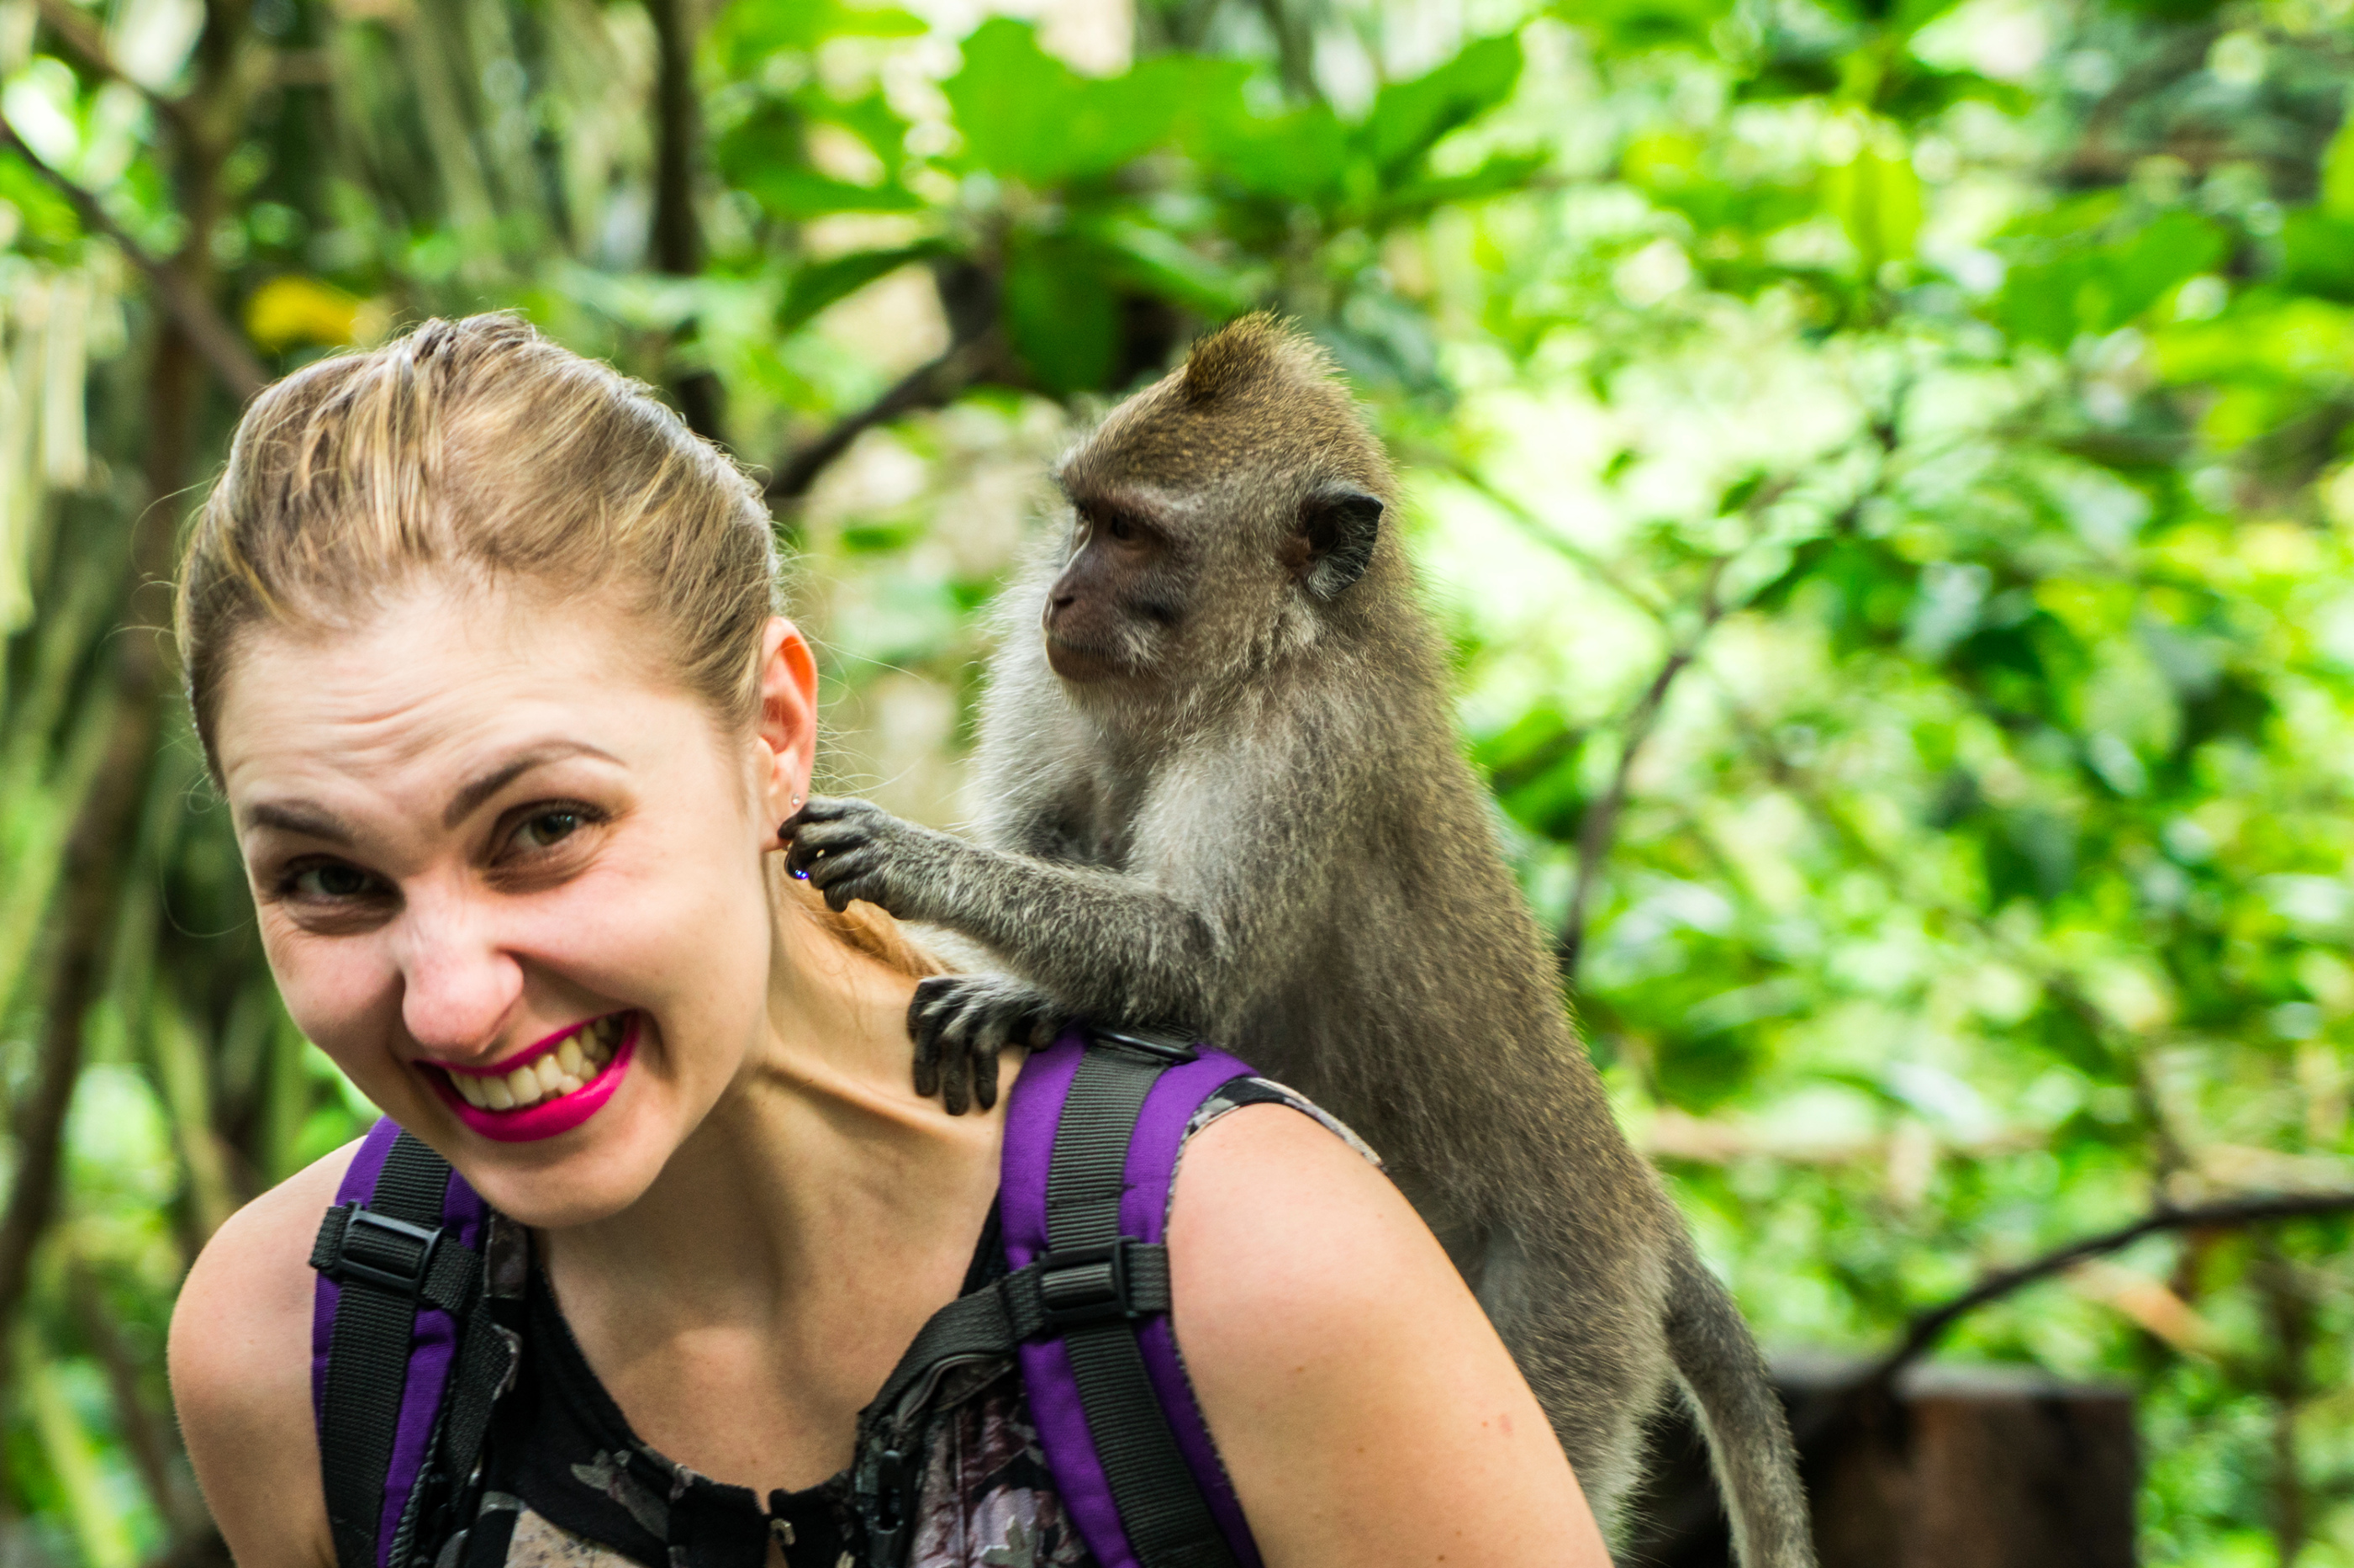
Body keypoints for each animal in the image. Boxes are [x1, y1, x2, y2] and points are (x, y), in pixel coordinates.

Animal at [781, 310, 1808, 1554]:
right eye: (1085, 518)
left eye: (1133, 533)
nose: (1060, 596)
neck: (1263, 654)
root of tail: (1632, 1202)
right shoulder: (1050, 674)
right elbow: (1060, 841)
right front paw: (1023, 994)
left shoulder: (1302, 738)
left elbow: (1193, 950)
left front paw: (908, 860)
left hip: (1565, 1312)